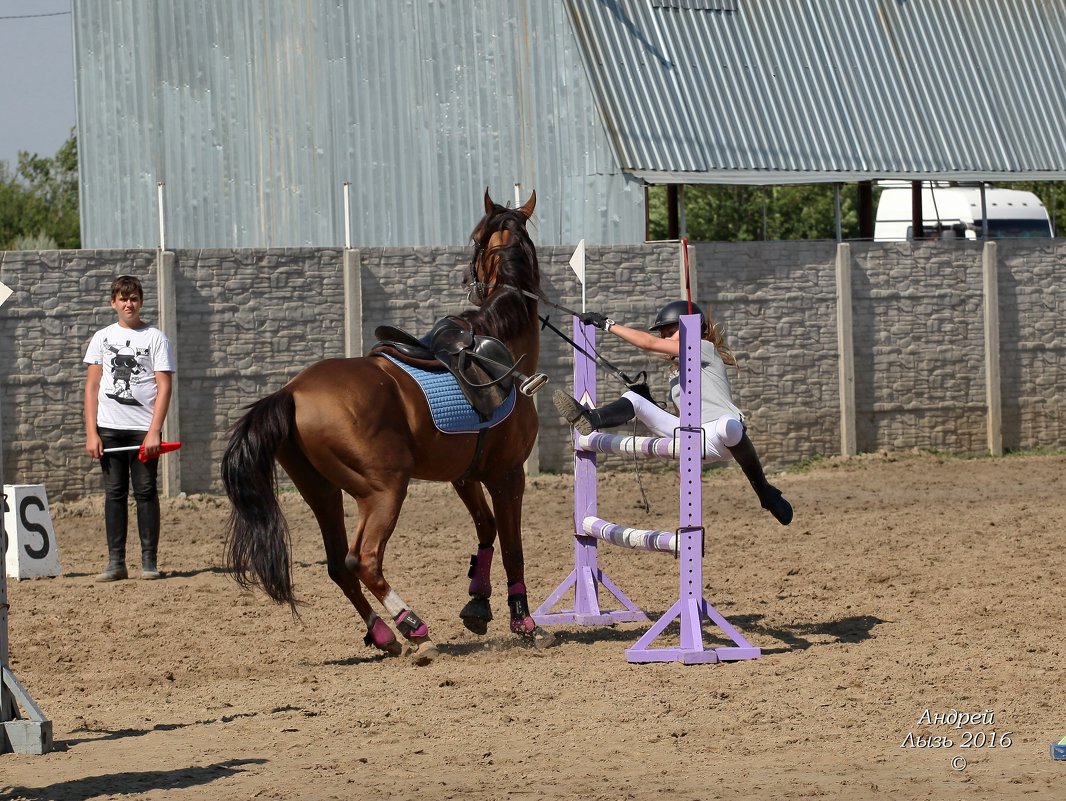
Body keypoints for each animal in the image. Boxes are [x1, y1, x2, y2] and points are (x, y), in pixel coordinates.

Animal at [215, 189, 550, 665]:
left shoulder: (464, 476)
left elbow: (485, 530)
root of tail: (292, 392)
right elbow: (512, 548)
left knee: (339, 565)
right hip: (383, 489)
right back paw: (413, 628)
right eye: (475, 237)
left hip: (322, 491)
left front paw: (478, 603)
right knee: (364, 560)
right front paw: (524, 622)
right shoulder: (507, 475)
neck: (498, 346)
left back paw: (383, 633)